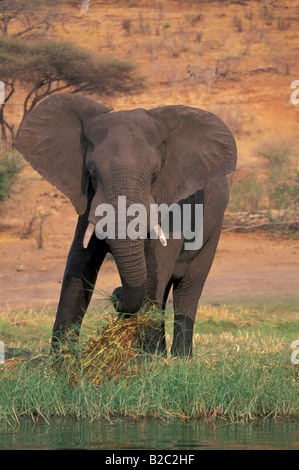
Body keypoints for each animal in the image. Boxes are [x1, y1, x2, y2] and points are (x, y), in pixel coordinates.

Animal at [15, 92, 237, 356]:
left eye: (154, 174)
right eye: (92, 172)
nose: (116, 292)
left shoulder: (176, 205)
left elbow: (155, 269)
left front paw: (144, 361)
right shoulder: (88, 201)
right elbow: (80, 263)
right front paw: (63, 360)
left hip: (214, 228)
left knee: (187, 288)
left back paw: (179, 359)